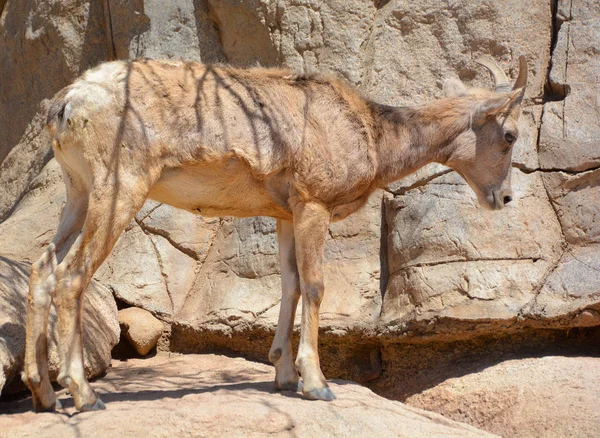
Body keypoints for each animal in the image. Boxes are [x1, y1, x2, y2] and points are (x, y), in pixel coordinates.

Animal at [24, 54, 524, 410]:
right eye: (511, 135)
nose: (503, 198)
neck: (374, 137)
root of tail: (65, 106)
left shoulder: (286, 212)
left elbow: (290, 283)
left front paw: (283, 375)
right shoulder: (314, 203)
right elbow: (316, 286)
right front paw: (317, 385)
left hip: (78, 190)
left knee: (42, 266)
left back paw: (43, 393)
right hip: (119, 187)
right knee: (71, 275)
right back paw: (84, 395)